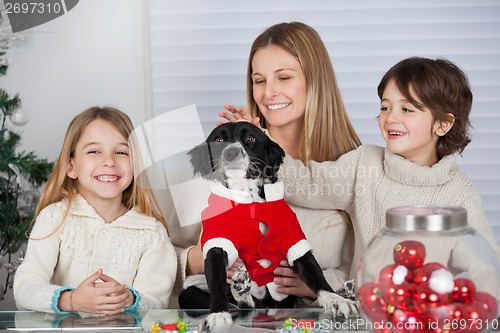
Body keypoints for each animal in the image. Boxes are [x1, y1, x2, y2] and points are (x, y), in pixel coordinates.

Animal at [182, 120, 358, 328]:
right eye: (218, 140)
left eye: (250, 138)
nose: (231, 152)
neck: (249, 200)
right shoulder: (216, 243)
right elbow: (216, 282)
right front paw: (218, 314)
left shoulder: (292, 240)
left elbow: (316, 276)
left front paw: (336, 300)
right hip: (189, 293)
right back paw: (239, 290)